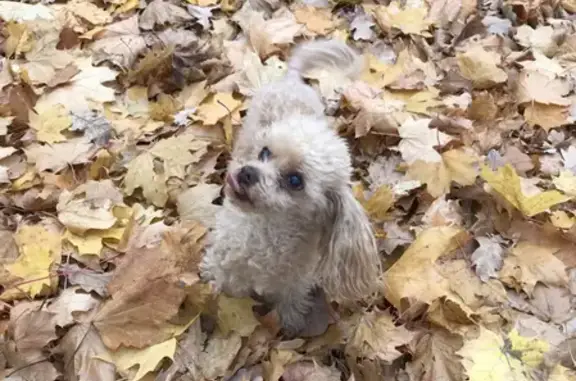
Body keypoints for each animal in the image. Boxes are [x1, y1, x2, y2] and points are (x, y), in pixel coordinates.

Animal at [200, 38, 380, 336]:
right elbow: (221, 283)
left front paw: (291, 325)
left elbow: (290, 304)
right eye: (264, 152)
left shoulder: (294, 283)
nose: (247, 173)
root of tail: (292, 80)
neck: (268, 231)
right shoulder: (227, 265)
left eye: (295, 181)